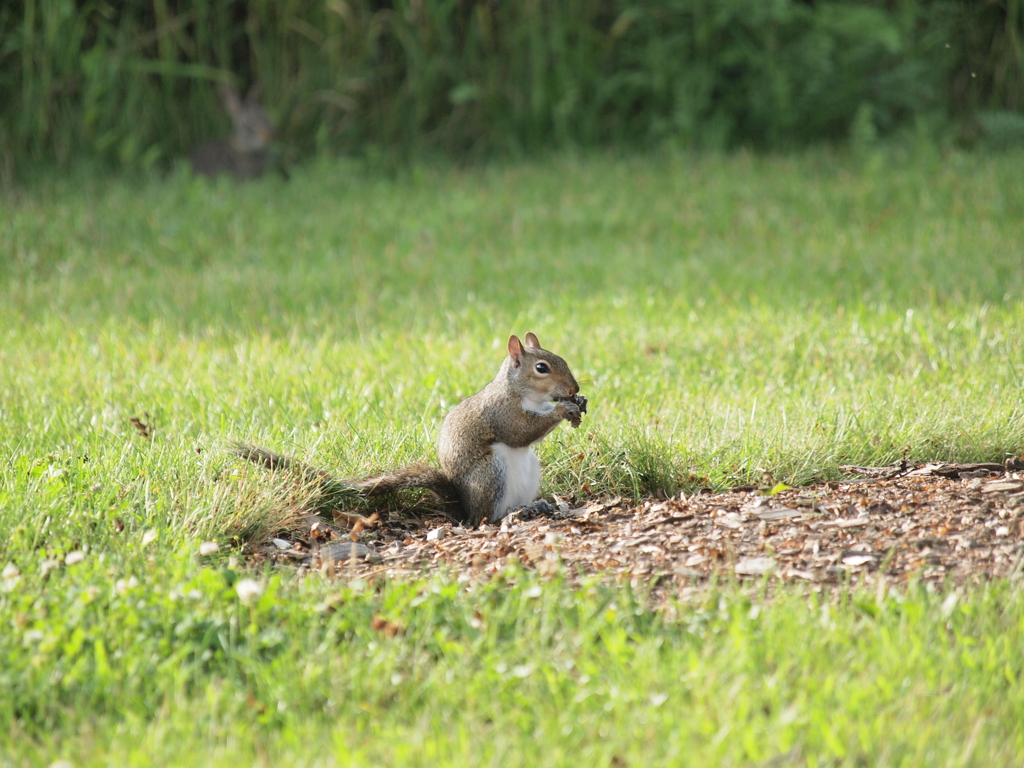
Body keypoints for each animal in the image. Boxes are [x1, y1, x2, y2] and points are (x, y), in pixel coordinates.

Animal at [230, 333, 585, 528]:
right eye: (541, 368)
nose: (574, 388)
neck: (523, 394)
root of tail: (464, 511)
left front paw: (577, 405)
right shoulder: (502, 413)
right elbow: (522, 432)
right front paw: (564, 410)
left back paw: (534, 506)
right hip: (490, 474)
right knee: (488, 518)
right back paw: (509, 516)